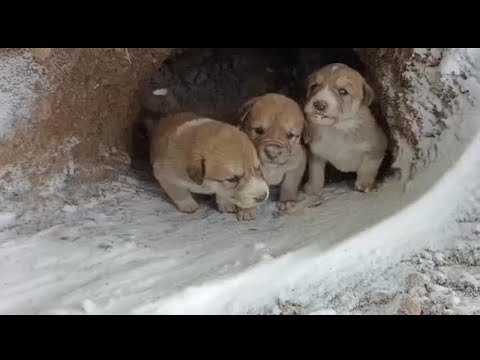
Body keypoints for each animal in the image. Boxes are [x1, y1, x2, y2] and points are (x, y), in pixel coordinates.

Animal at [304, 64, 390, 194]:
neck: (337, 129)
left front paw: (364, 184)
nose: (319, 105)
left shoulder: (377, 148)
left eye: (343, 91)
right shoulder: (316, 152)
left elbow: (368, 166)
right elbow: (315, 171)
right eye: (314, 86)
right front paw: (313, 188)